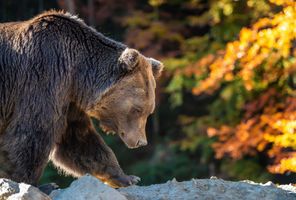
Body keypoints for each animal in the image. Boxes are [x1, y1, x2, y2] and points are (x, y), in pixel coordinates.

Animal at [0, 10, 162, 189]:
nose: (141, 142)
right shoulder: (43, 76)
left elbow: (78, 139)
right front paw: (33, 182)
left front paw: (127, 177)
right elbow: (32, 130)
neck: (77, 71)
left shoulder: (69, 98)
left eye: (149, 111)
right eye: (137, 109)